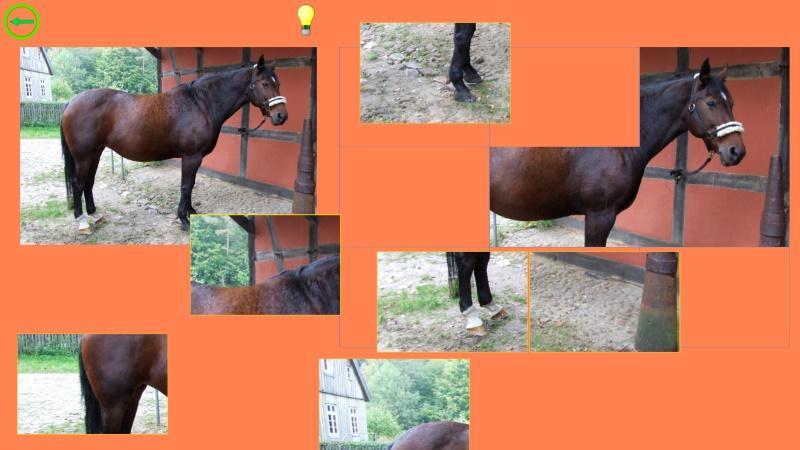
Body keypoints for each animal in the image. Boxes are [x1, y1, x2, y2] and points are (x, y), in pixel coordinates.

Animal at [60, 55, 288, 234]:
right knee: (78, 183)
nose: (281, 116)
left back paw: (93, 213)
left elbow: (191, 185)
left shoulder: (195, 158)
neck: (201, 104)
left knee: (88, 182)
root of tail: (71, 102)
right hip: (83, 156)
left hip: (95, 152)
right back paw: (82, 220)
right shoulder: (191, 157)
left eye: (278, 83)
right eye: (265, 83)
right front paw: (184, 219)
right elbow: (186, 186)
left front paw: (191, 212)